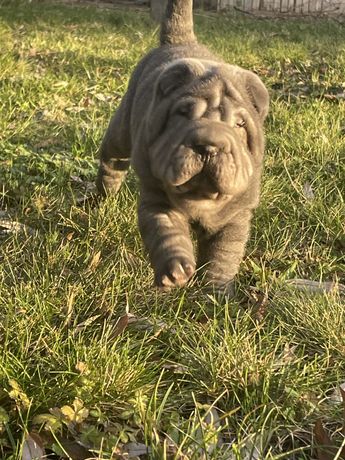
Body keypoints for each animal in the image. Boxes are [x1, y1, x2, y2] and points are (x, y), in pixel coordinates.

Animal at [97, 0, 268, 294]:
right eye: (183, 113)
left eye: (240, 124)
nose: (209, 145)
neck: (200, 196)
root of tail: (179, 41)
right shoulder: (159, 199)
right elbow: (168, 236)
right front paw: (175, 271)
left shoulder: (236, 214)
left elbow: (223, 253)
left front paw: (215, 290)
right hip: (121, 131)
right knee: (111, 159)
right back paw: (102, 194)